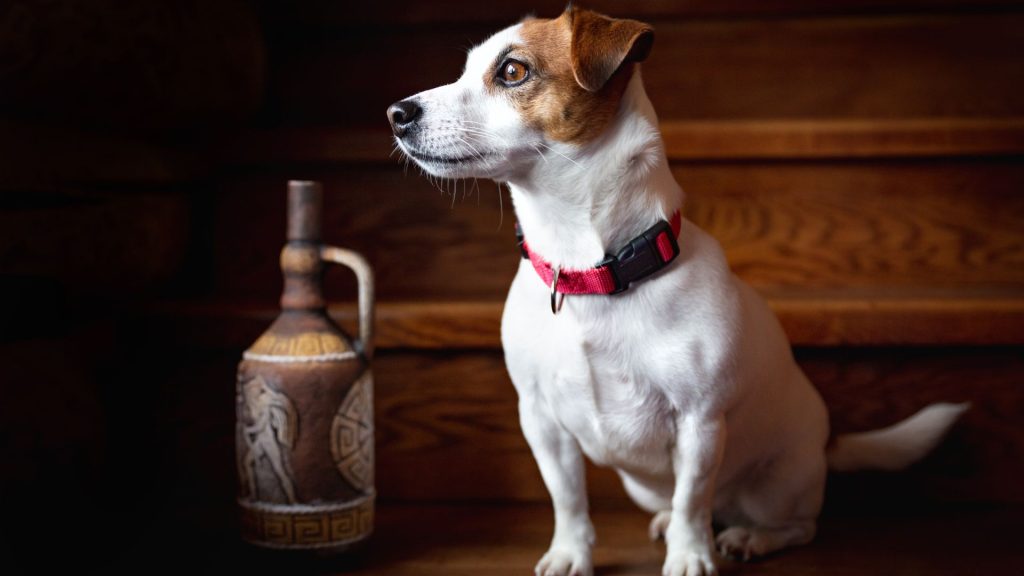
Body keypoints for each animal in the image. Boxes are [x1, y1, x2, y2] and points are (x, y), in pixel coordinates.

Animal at [385, 5, 966, 573]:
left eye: (512, 71)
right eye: (464, 70)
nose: (396, 113)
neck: (591, 271)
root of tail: (827, 443)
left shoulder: (699, 422)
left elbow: (693, 498)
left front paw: (689, 557)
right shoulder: (542, 422)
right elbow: (568, 498)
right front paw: (571, 552)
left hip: (778, 484)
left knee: (790, 524)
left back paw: (749, 537)